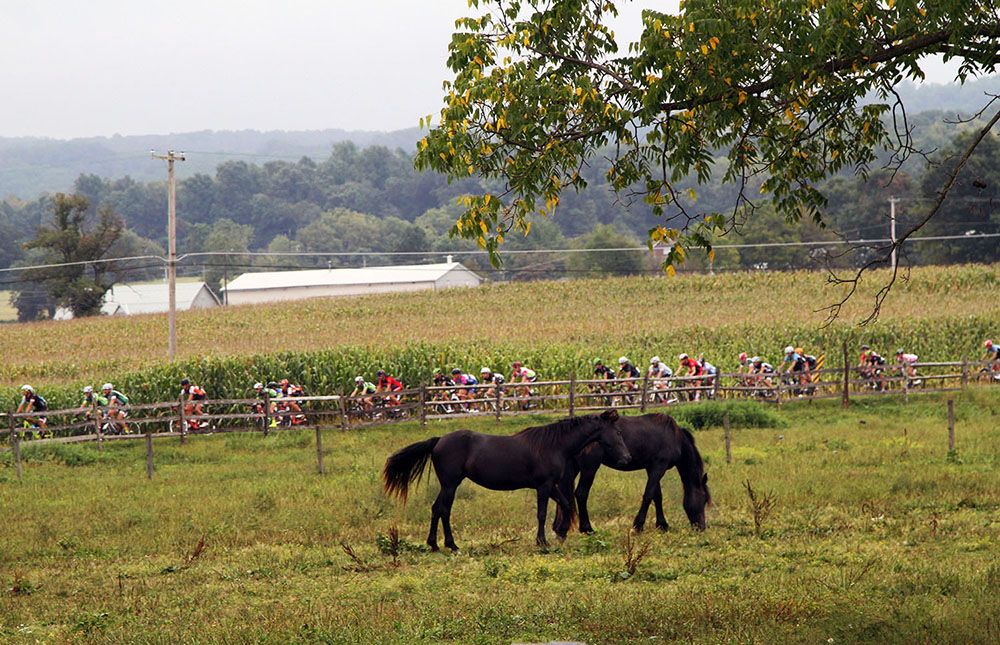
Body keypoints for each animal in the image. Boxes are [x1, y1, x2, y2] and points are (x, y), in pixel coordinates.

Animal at [382, 410, 631, 552]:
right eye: (618, 433)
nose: (626, 458)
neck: (553, 445)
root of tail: (439, 441)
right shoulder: (543, 486)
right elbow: (541, 513)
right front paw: (542, 542)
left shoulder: (551, 486)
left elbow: (566, 504)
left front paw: (560, 533)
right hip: (451, 484)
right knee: (444, 510)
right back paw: (451, 545)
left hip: (448, 485)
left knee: (436, 509)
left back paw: (434, 545)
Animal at [555, 413, 711, 534]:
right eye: (703, 500)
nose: (701, 527)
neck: (674, 436)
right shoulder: (659, 466)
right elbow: (648, 495)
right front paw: (638, 526)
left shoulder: (651, 468)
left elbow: (657, 496)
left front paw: (662, 525)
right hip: (589, 468)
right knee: (581, 493)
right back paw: (587, 529)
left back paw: (559, 527)